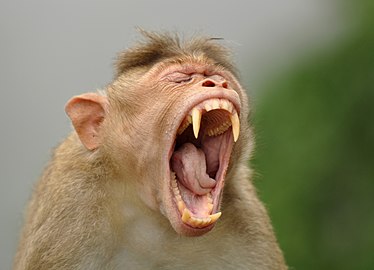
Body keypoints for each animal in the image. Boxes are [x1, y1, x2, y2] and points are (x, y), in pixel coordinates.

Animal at [12, 32, 286, 270]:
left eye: (216, 75)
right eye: (180, 79)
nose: (217, 83)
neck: (157, 220)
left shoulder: (247, 222)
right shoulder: (70, 209)